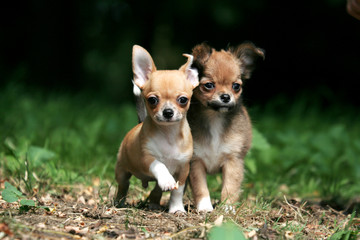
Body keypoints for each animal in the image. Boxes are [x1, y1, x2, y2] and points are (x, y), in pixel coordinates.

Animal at [114, 45, 198, 214]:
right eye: (152, 100)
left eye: (183, 100)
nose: (168, 112)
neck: (169, 135)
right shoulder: (146, 158)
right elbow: (159, 164)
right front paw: (166, 179)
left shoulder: (183, 170)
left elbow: (178, 191)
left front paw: (177, 208)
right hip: (121, 171)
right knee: (123, 186)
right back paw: (119, 202)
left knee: (156, 191)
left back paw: (153, 203)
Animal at [188, 42, 264, 211]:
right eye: (209, 85)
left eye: (236, 86)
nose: (225, 97)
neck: (215, 118)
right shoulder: (195, 162)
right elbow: (200, 187)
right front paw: (204, 207)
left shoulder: (233, 160)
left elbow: (230, 187)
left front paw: (227, 207)